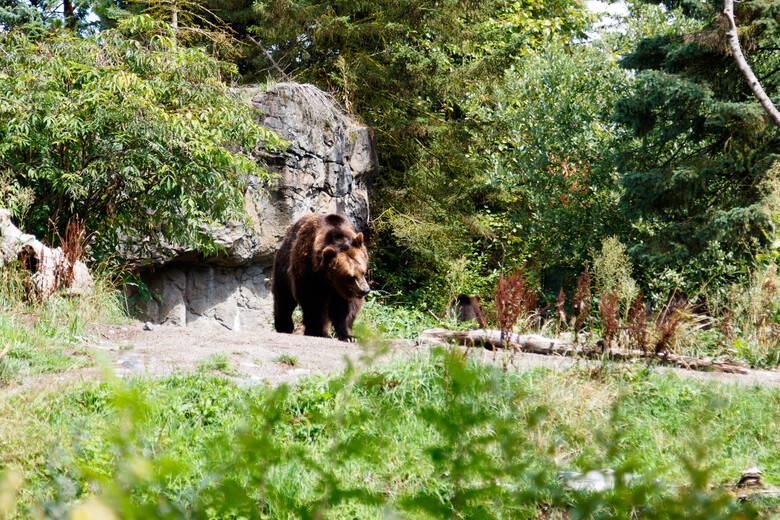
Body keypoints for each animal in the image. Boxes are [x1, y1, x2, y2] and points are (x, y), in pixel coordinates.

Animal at [272, 211, 370, 342]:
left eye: (363, 271)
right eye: (350, 276)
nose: (365, 290)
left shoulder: (345, 291)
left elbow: (346, 309)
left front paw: (349, 336)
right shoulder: (309, 272)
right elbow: (313, 301)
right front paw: (319, 332)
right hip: (284, 266)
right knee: (283, 298)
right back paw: (284, 326)